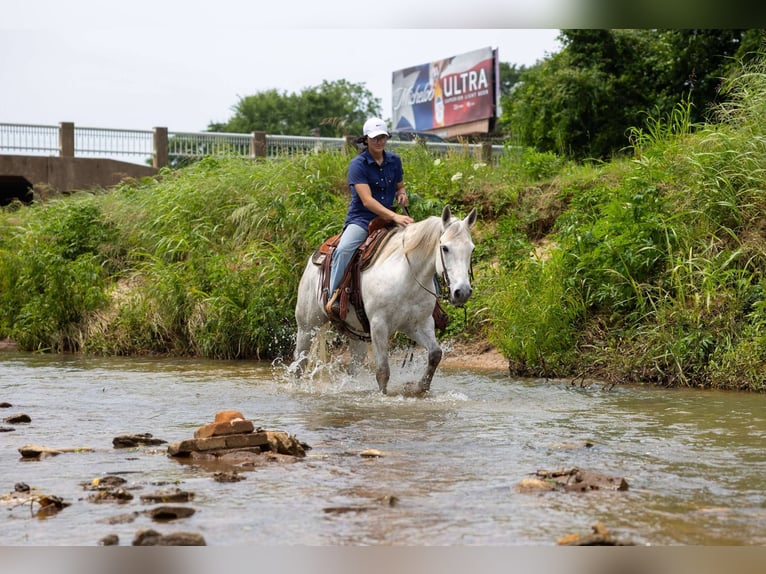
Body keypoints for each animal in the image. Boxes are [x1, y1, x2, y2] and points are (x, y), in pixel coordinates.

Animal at [293, 205, 477, 394]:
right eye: (445, 248)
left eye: (471, 249)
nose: (462, 292)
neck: (407, 277)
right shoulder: (379, 325)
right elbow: (382, 371)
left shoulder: (419, 325)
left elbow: (435, 354)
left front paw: (419, 388)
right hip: (307, 327)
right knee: (300, 362)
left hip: (356, 335)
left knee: (353, 367)